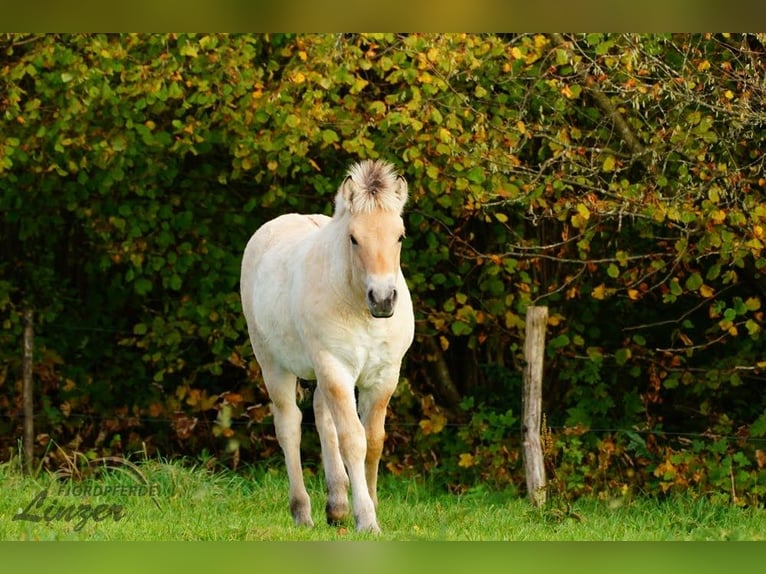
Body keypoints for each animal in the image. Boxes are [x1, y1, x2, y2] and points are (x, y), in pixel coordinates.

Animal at [240, 159, 415, 533]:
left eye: (400, 236)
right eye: (354, 238)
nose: (382, 298)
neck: (360, 308)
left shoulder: (384, 376)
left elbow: (374, 441)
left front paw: (371, 507)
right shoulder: (334, 367)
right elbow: (354, 440)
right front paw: (367, 519)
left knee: (322, 418)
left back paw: (336, 507)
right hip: (274, 365)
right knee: (289, 426)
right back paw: (302, 511)